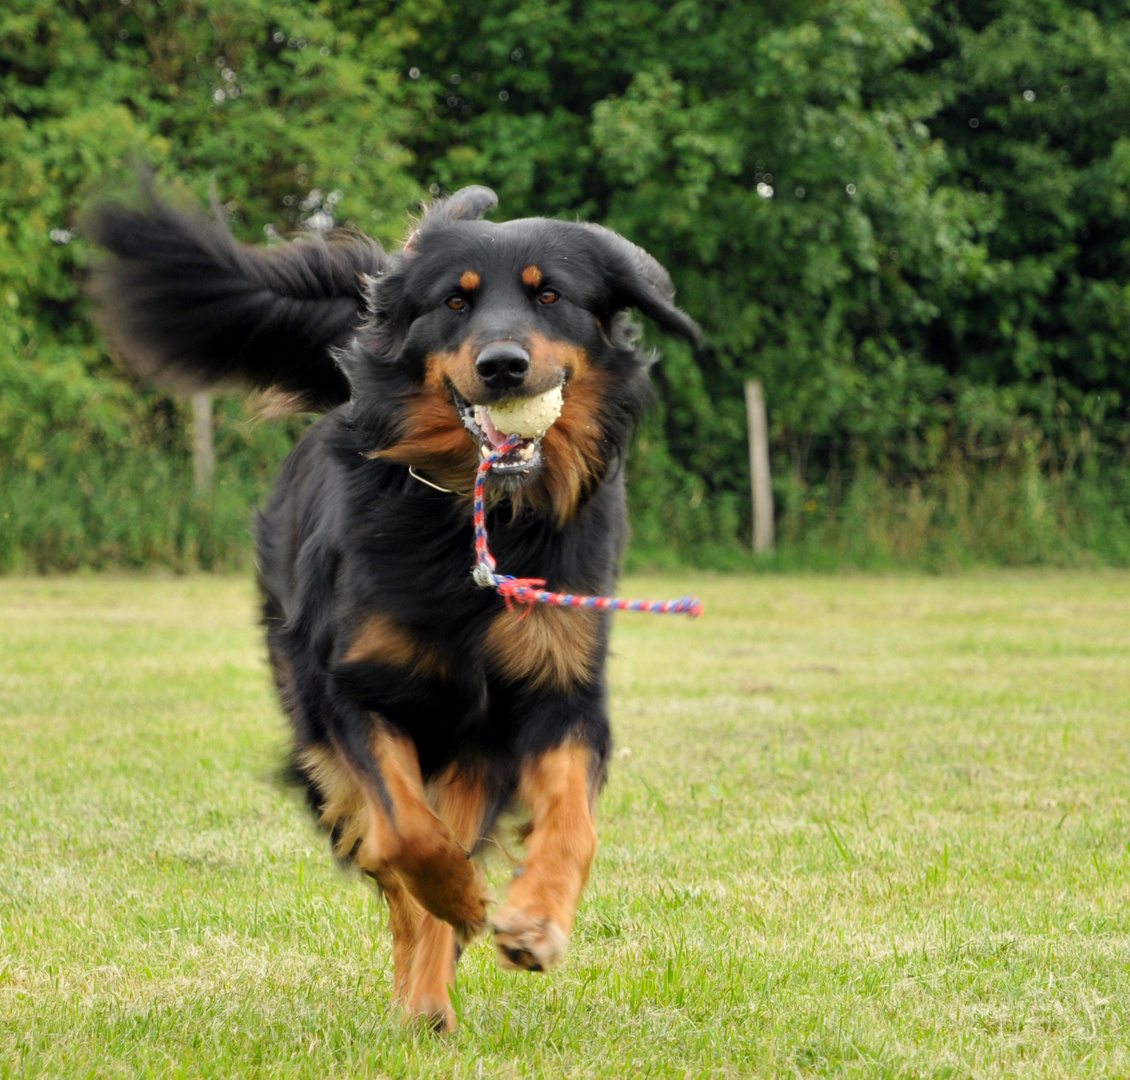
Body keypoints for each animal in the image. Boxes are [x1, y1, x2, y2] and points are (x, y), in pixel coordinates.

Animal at [88, 185, 700, 1030]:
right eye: (454, 302)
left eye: (550, 296)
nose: (502, 366)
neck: (480, 518)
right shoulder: (349, 689)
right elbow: (409, 835)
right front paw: (465, 901)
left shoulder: (559, 690)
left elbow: (570, 822)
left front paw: (536, 917)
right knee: (394, 859)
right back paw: (426, 986)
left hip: (471, 749)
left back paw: (432, 996)